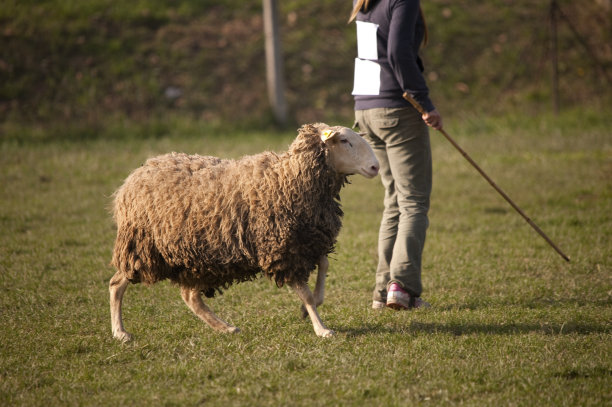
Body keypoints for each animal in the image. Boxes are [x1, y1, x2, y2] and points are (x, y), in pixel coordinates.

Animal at [107, 123, 380, 342]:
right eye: (344, 141)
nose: (375, 166)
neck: (288, 180)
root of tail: (132, 179)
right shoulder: (282, 250)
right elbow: (307, 295)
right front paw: (321, 329)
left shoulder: (308, 240)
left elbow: (324, 268)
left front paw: (313, 306)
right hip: (141, 247)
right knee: (116, 284)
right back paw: (120, 333)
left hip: (194, 257)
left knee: (190, 297)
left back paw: (225, 328)